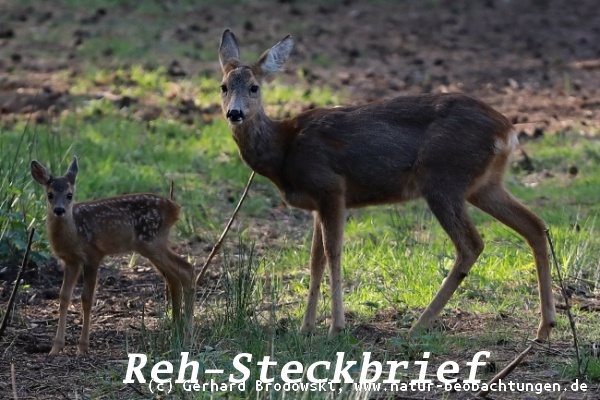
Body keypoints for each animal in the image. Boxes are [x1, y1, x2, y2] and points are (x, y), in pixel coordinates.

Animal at [31, 156, 195, 354]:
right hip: (152, 245)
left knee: (186, 269)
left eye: (69, 195)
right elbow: (63, 297)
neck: (75, 233)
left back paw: (187, 338)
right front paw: (55, 348)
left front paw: (82, 348)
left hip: (152, 241)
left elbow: (87, 298)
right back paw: (176, 335)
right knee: (174, 277)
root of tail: (176, 208)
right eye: (50, 194)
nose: (59, 210)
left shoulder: (93, 254)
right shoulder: (71, 261)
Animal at [218, 29, 556, 340]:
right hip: (483, 185)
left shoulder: (331, 187)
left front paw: (335, 327)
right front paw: (306, 328)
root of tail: (507, 130)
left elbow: (333, 254)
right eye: (223, 86)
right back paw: (544, 327)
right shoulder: (316, 203)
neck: (283, 150)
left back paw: (418, 326)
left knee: (471, 244)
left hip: (443, 178)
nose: (235, 113)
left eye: (254, 87)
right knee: (534, 225)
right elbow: (315, 260)